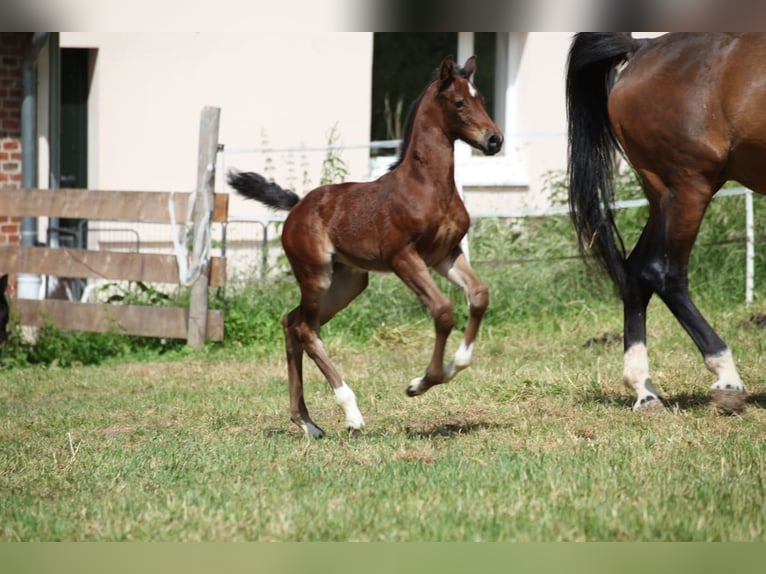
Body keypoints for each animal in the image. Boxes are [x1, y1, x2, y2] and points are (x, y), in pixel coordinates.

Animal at [228, 56, 504, 438]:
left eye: (482, 99)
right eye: (459, 102)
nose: (494, 141)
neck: (429, 186)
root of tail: (296, 206)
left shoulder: (446, 255)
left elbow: (478, 296)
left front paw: (452, 367)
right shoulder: (403, 256)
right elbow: (443, 310)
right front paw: (420, 383)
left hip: (349, 281)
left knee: (293, 322)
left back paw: (307, 422)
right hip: (316, 275)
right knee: (305, 329)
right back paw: (351, 413)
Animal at [564, 33, 766, 414]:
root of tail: (643, 49)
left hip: (664, 196)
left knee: (635, 272)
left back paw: (644, 391)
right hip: (689, 187)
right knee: (664, 273)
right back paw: (727, 379)